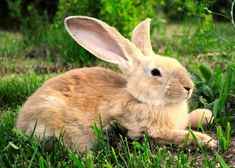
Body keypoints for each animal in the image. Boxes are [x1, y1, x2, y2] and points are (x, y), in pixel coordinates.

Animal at [16, 15, 217, 152]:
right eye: (155, 72)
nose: (188, 87)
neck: (143, 100)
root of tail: (20, 122)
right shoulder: (150, 130)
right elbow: (175, 135)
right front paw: (207, 141)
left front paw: (206, 115)